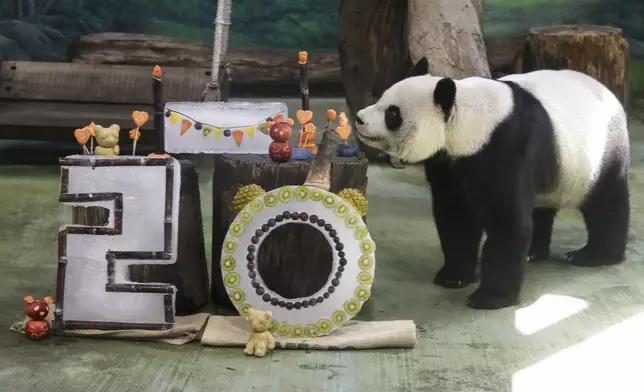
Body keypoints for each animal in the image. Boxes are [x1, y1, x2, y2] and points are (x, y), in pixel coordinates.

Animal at [352, 58, 628, 310]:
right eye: (381, 98)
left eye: (392, 113)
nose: (359, 118)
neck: (467, 120)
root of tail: (609, 93)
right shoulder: (450, 163)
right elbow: (456, 215)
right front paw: (454, 276)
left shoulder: (506, 145)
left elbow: (506, 218)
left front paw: (489, 297)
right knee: (540, 207)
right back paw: (534, 252)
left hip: (599, 153)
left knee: (606, 202)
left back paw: (594, 255)